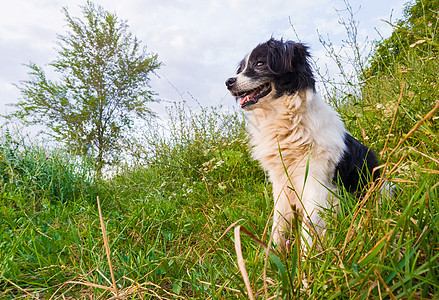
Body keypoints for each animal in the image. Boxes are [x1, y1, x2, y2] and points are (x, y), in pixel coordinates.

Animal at [225, 38, 380, 248]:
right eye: (240, 69)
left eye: (260, 63)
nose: (228, 82)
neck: (288, 123)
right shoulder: (280, 184)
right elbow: (278, 225)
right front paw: (274, 254)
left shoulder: (315, 183)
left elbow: (310, 226)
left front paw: (308, 256)